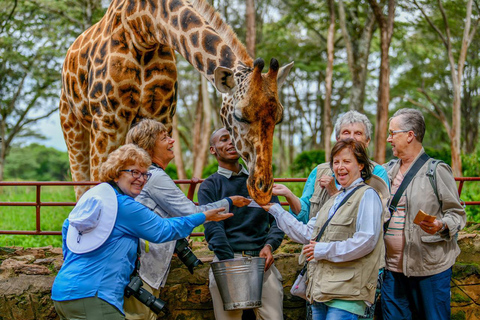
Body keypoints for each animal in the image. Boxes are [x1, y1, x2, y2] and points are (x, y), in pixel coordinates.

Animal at [60, 0, 292, 205]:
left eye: (279, 119)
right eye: (239, 116)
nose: (262, 189)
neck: (144, 28)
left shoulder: (161, 118)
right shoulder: (107, 122)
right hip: (73, 128)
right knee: (81, 186)